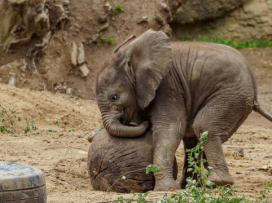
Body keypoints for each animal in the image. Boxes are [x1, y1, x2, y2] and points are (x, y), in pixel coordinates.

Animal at [94, 29, 272, 191]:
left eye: (114, 97)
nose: (143, 123)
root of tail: (255, 88)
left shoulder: (168, 86)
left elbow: (171, 129)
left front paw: (166, 189)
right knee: (193, 136)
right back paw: (192, 186)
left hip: (231, 95)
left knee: (203, 126)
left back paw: (218, 183)